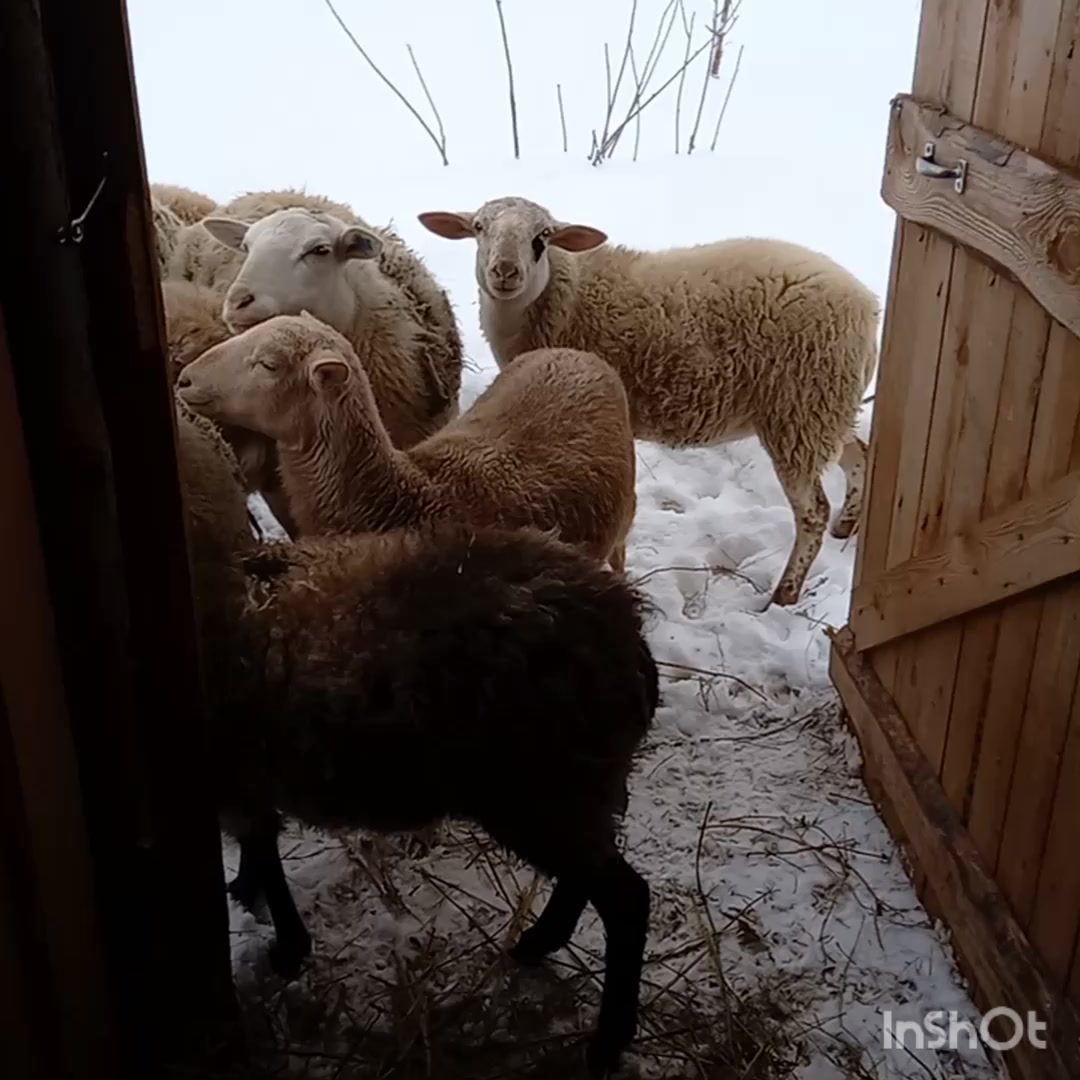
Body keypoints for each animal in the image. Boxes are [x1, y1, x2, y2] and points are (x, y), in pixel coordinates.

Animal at [170, 406, 656, 1071]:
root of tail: (627, 631)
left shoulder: (230, 773)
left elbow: (263, 849)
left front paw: (285, 945)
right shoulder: (245, 775)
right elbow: (261, 843)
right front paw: (252, 897)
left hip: (542, 794)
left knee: (626, 898)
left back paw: (605, 1042)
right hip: (571, 792)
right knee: (591, 879)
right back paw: (537, 943)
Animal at [416, 195, 881, 609]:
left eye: (543, 235)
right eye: (479, 227)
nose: (505, 272)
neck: (564, 295)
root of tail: (868, 307)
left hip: (800, 407)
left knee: (812, 512)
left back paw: (785, 593)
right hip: (822, 408)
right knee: (859, 454)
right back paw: (848, 524)